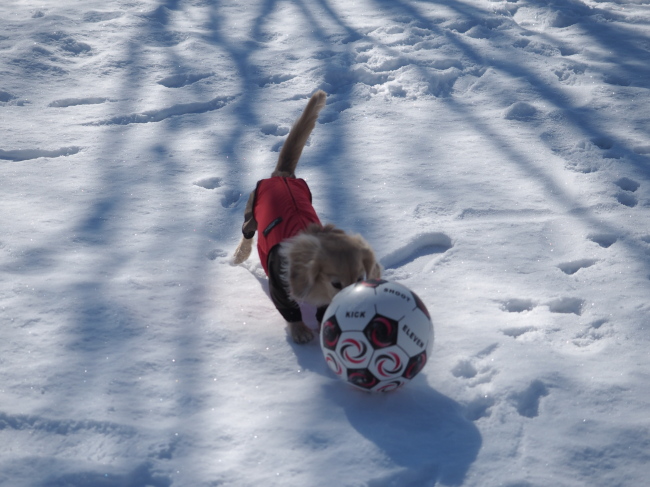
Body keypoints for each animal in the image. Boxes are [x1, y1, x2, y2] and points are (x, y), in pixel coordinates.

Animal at [230, 89, 380, 346]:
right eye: (336, 283)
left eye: (359, 279)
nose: (350, 305)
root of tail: (282, 175)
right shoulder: (279, 287)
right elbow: (291, 311)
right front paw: (300, 331)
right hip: (252, 209)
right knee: (247, 232)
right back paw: (240, 255)